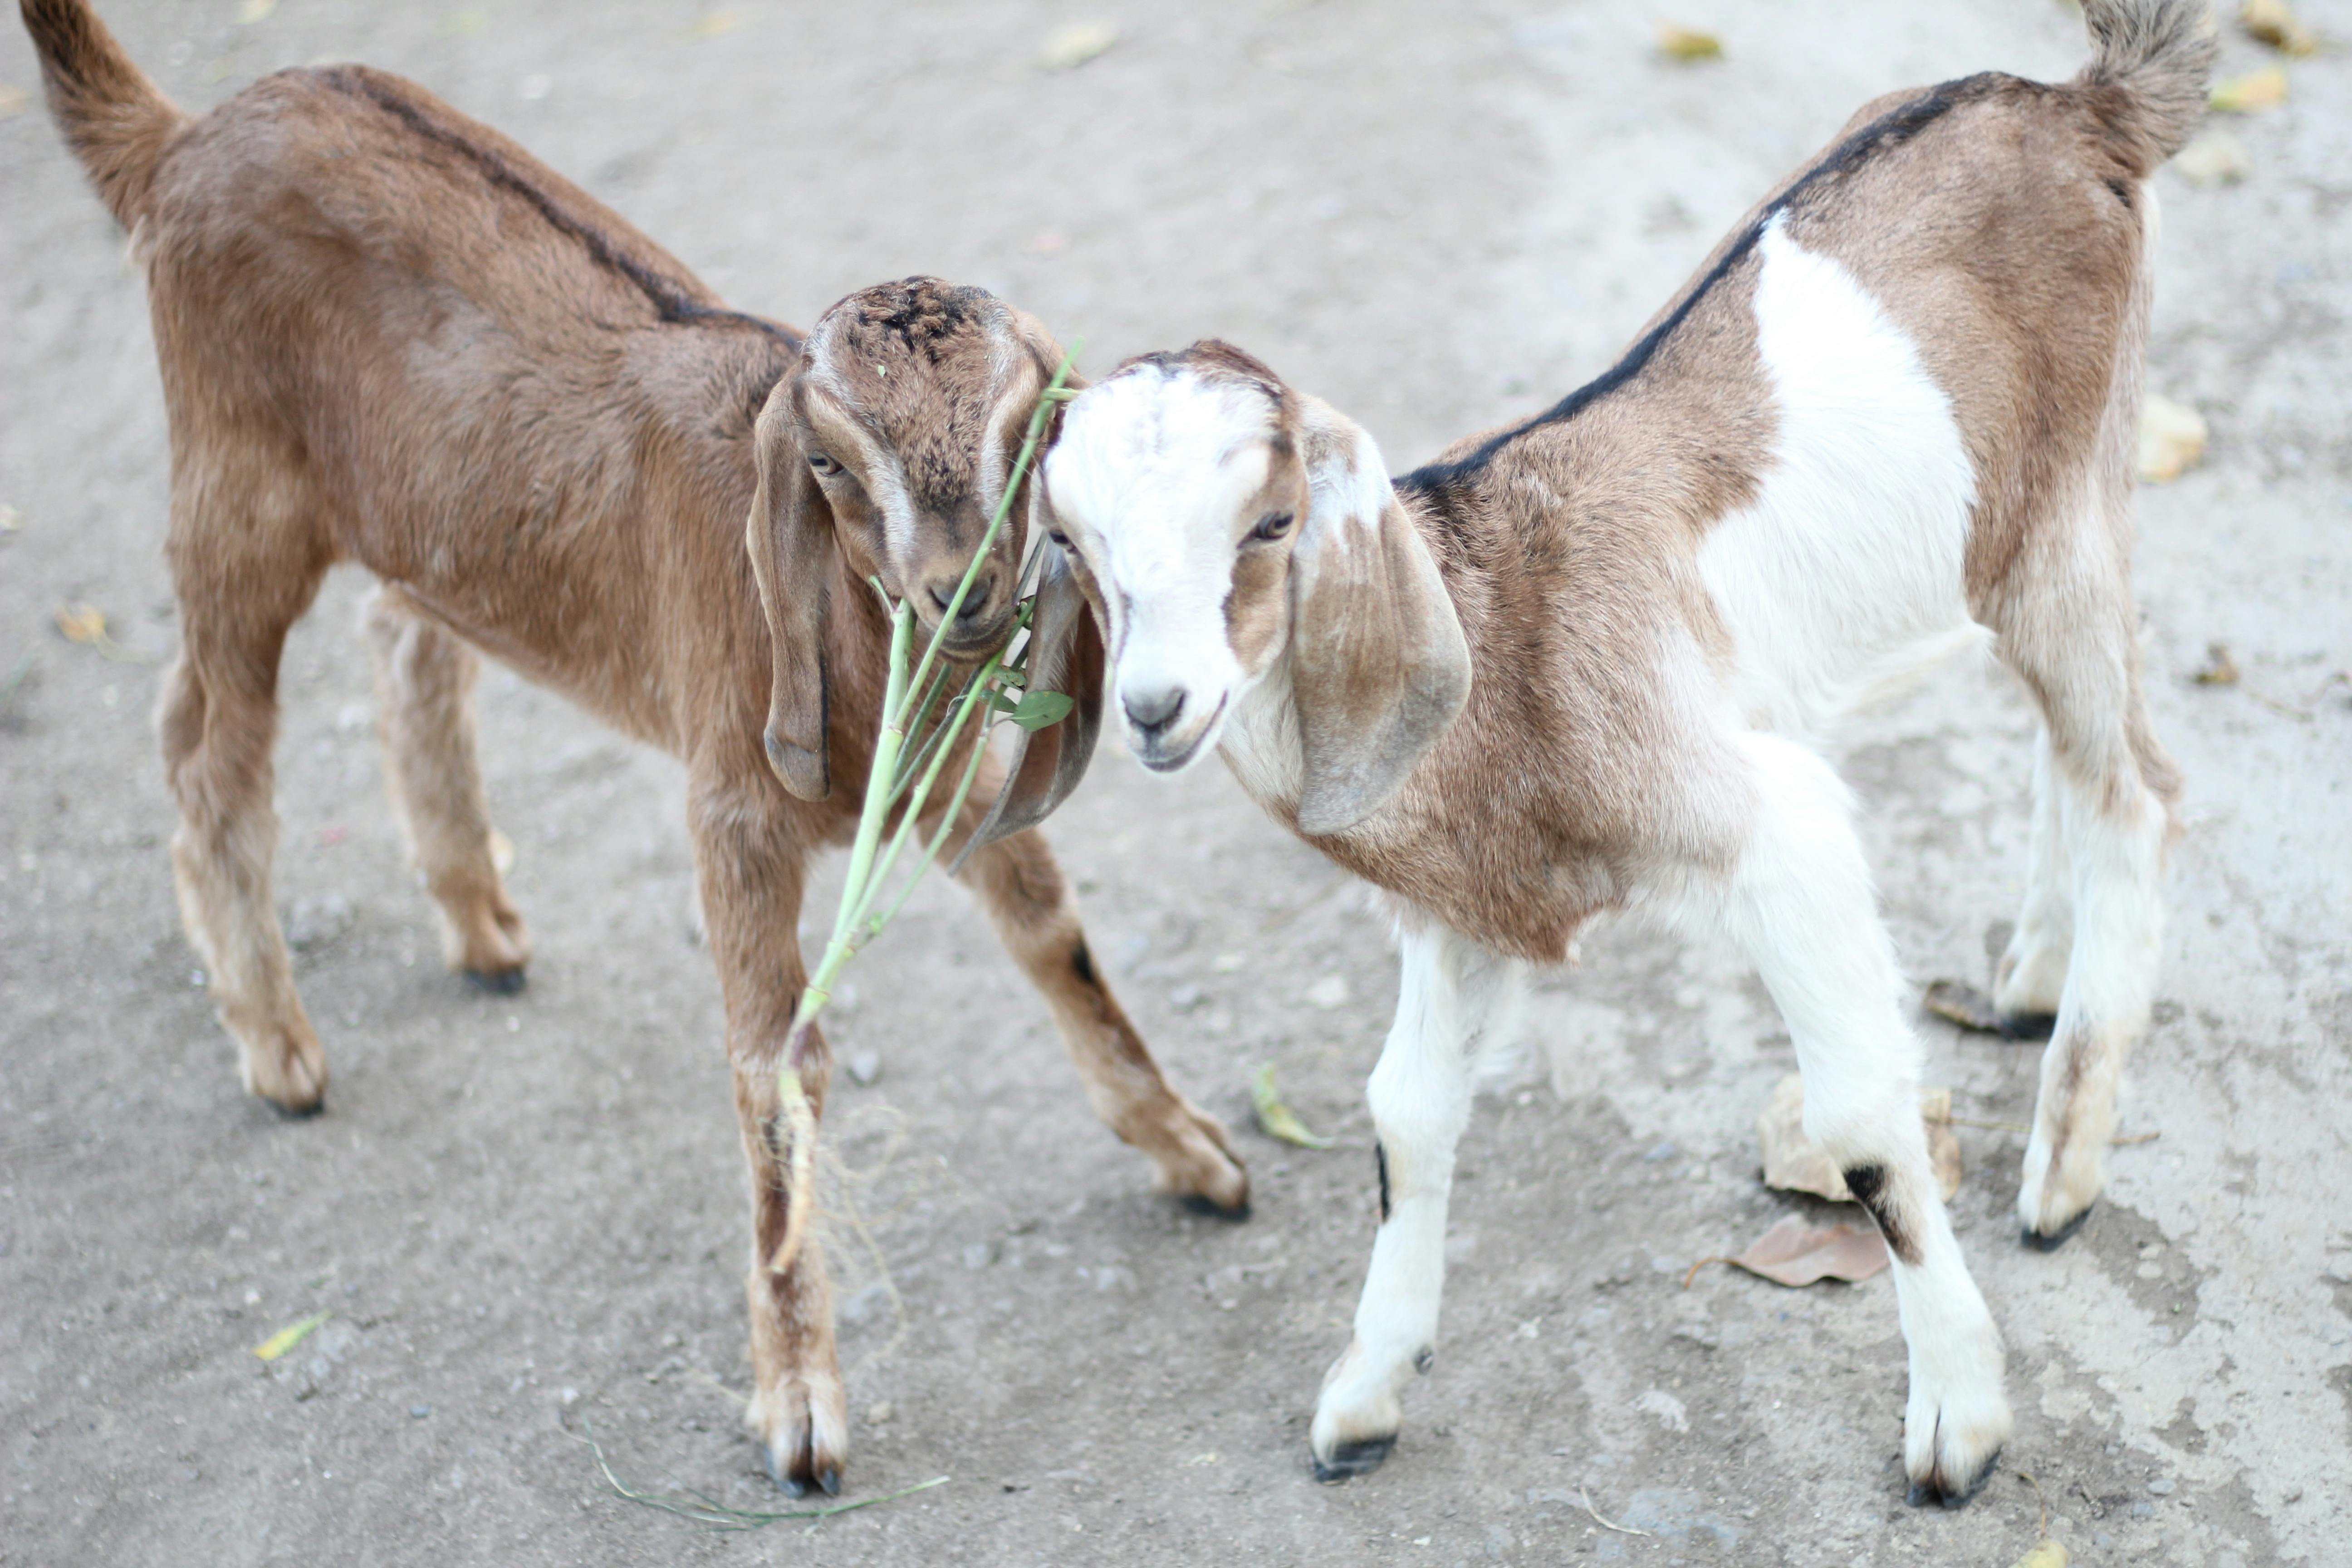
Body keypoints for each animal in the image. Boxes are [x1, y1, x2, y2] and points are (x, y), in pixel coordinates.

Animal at [21, 0, 1246, 1495]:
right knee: (205, 734)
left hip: (420, 515)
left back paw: (479, 921)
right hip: (235, 489)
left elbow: (1054, 939)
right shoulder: (735, 807)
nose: (961, 593)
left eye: (1027, 433)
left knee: (409, 632)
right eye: (829, 464)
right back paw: (276, 1044)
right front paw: (799, 1412)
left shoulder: (947, 786)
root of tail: (180, 138)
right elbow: (776, 1066)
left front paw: (1193, 1153)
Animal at [1035, 0, 2204, 1503]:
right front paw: (1365, 1396)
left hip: (2069, 510)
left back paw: (2063, 1166)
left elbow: (1861, 1128)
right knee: (2072, 744)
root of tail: (2082, 103)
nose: (1156, 706)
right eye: (1072, 544)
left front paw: (1960, 1422)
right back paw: (2030, 979)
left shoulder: (1769, 830)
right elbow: (1404, 1114)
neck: (1504, 641)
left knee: (2136, 786)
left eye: (1272, 523)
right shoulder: (1465, 907)